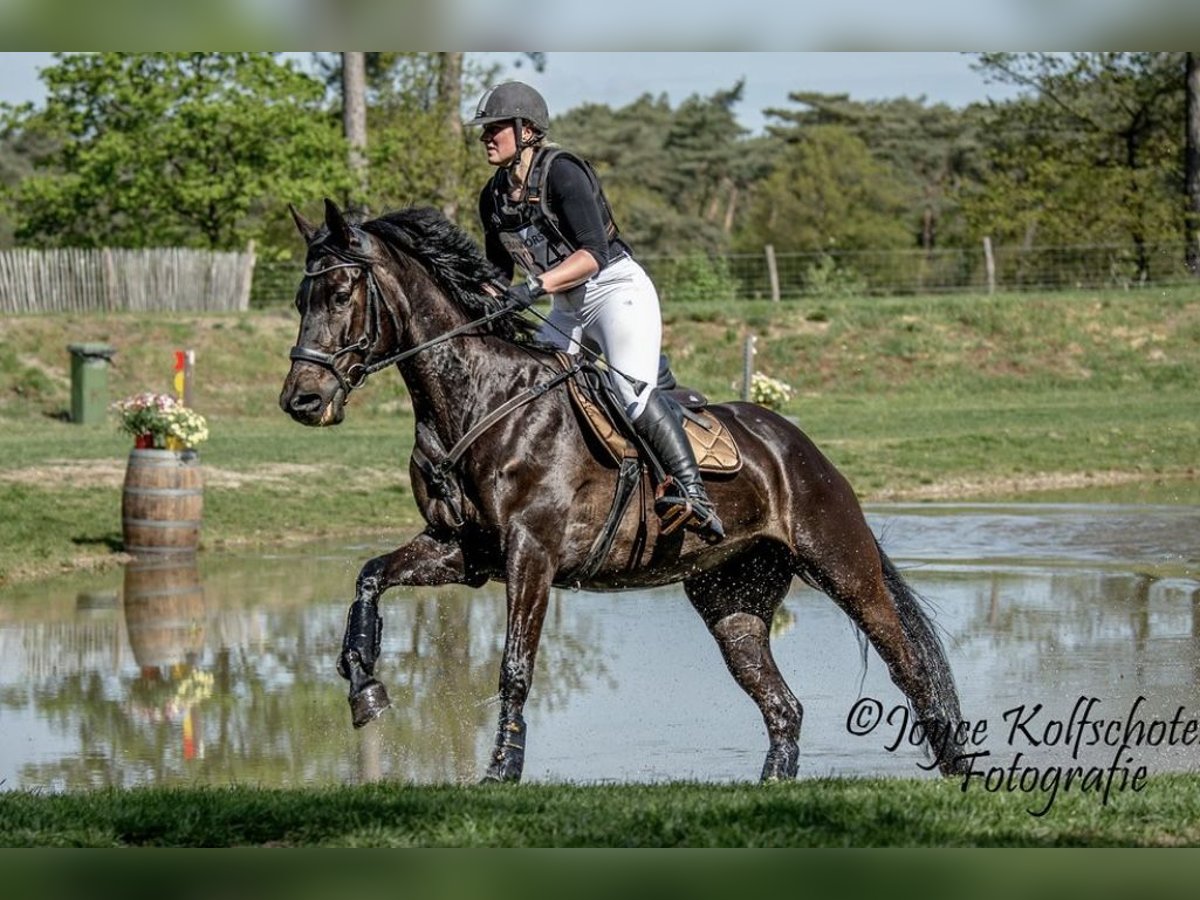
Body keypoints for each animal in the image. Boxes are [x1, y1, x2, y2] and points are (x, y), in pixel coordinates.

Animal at [278, 198, 972, 783]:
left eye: (340, 292)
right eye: (300, 298)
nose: (301, 401)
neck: (482, 399)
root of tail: (798, 444)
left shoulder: (531, 553)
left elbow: (514, 666)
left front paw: (502, 770)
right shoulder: (463, 549)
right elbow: (369, 577)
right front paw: (363, 689)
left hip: (841, 566)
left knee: (905, 658)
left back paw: (955, 764)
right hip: (733, 597)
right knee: (781, 701)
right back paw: (775, 783)